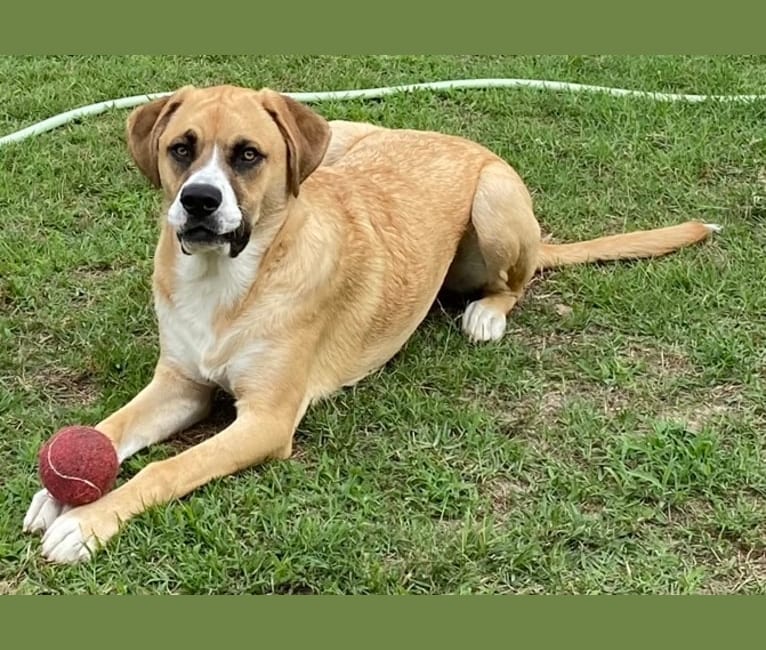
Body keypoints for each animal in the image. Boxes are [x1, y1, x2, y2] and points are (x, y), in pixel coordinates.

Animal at [22, 85, 720, 560]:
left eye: (247, 155)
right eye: (181, 149)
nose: (197, 202)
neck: (230, 280)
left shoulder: (266, 421)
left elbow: (166, 469)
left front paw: (86, 523)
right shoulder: (180, 383)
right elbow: (109, 430)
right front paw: (59, 491)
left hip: (495, 205)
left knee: (516, 283)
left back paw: (487, 315)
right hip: (343, 139)